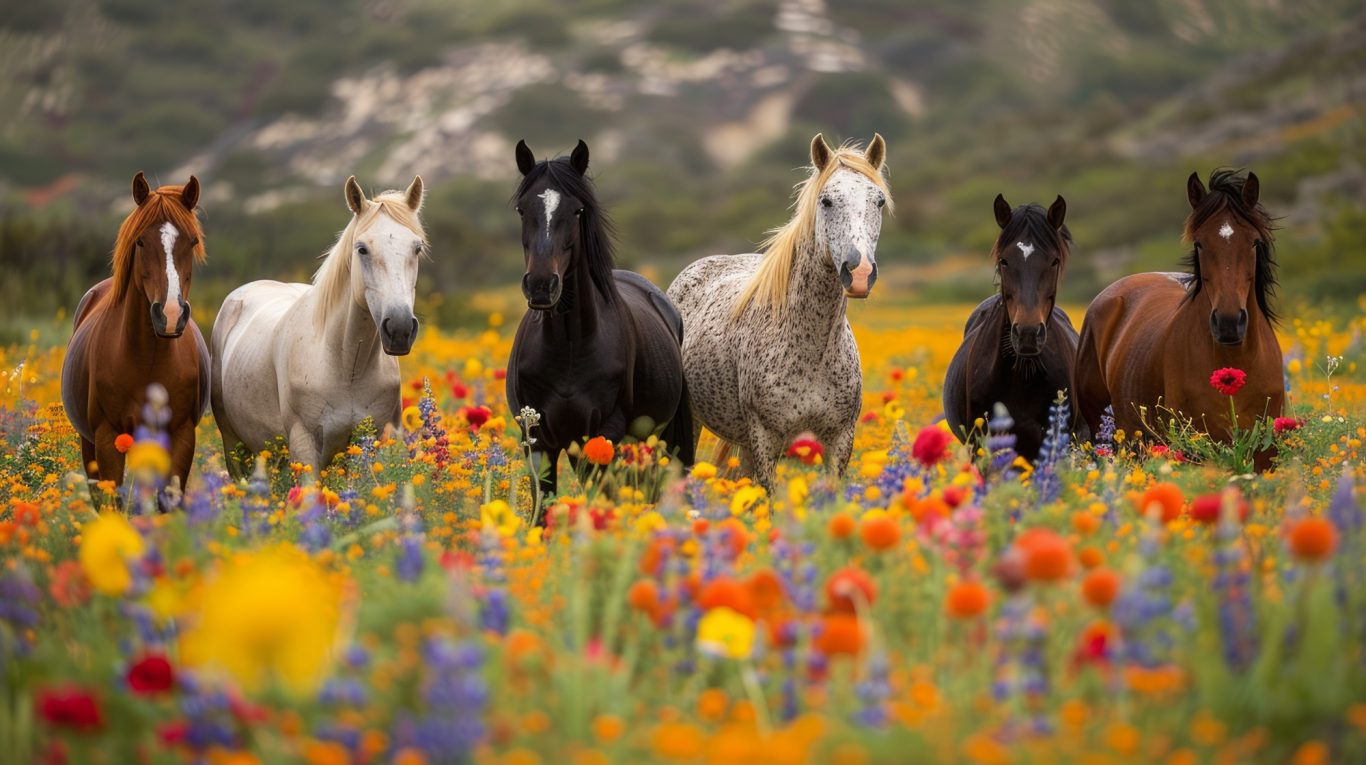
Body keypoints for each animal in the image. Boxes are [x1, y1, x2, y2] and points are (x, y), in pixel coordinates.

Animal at [61, 171, 208, 505]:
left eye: (192, 241)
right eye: (141, 240)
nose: (169, 314)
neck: (148, 360)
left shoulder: (180, 435)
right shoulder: (107, 438)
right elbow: (112, 502)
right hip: (89, 443)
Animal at [211, 175, 426, 476]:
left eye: (416, 248)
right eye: (362, 249)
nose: (399, 328)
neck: (346, 366)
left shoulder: (367, 444)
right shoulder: (304, 445)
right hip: (235, 448)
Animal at [506, 139, 693, 502]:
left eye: (578, 210)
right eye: (522, 210)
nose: (541, 286)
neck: (567, 346)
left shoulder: (604, 434)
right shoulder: (538, 441)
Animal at [667, 133, 890, 488]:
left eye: (879, 201)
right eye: (826, 201)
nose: (859, 273)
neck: (813, 352)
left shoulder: (839, 442)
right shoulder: (766, 440)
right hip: (695, 424)